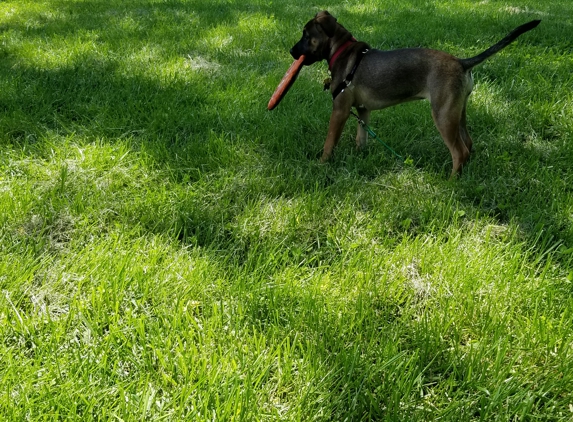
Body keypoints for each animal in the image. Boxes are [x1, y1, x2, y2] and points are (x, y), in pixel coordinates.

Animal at [290, 11, 540, 176]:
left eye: (305, 35)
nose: (292, 51)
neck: (342, 51)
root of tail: (461, 63)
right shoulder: (363, 109)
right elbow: (362, 137)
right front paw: (360, 157)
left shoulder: (340, 110)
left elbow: (329, 142)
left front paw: (321, 164)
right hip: (458, 112)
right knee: (468, 144)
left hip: (443, 115)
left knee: (459, 151)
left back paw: (451, 182)